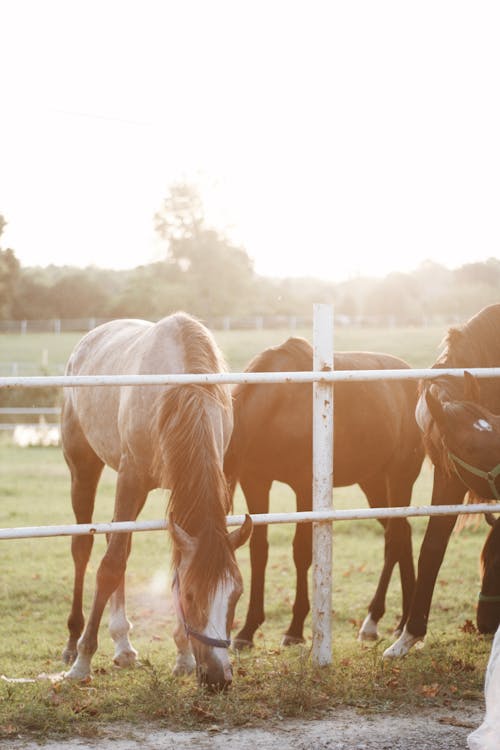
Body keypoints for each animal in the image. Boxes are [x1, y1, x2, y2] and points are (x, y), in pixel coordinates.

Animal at [61, 312, 252, 692]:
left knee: (113, 538)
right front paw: (83, 661)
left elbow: (168, 562)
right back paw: (73, 644)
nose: (219, 678)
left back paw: (123, 645)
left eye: (236, 594)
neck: (182, 388)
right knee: (84, 548)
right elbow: (110, 565)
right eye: (192, 596)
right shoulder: (130, 478)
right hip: (84, 468)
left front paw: (183, 656)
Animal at [225, 338, 424, 648]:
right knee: (402, 534)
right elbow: (259, 550)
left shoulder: (304, 489)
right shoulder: (255, 482)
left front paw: (294, 629)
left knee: (395, 537)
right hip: (374, 485)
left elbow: (301, 552)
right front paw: (247, 630)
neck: (278, 404)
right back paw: (402, 621)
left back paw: (374, 621)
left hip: (400, 477)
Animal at [384, 304, 500, 656]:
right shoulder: (450, 475)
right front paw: (408, 636)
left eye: (498, 432)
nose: (485, 624)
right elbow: (432, 546)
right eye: (468, 449)